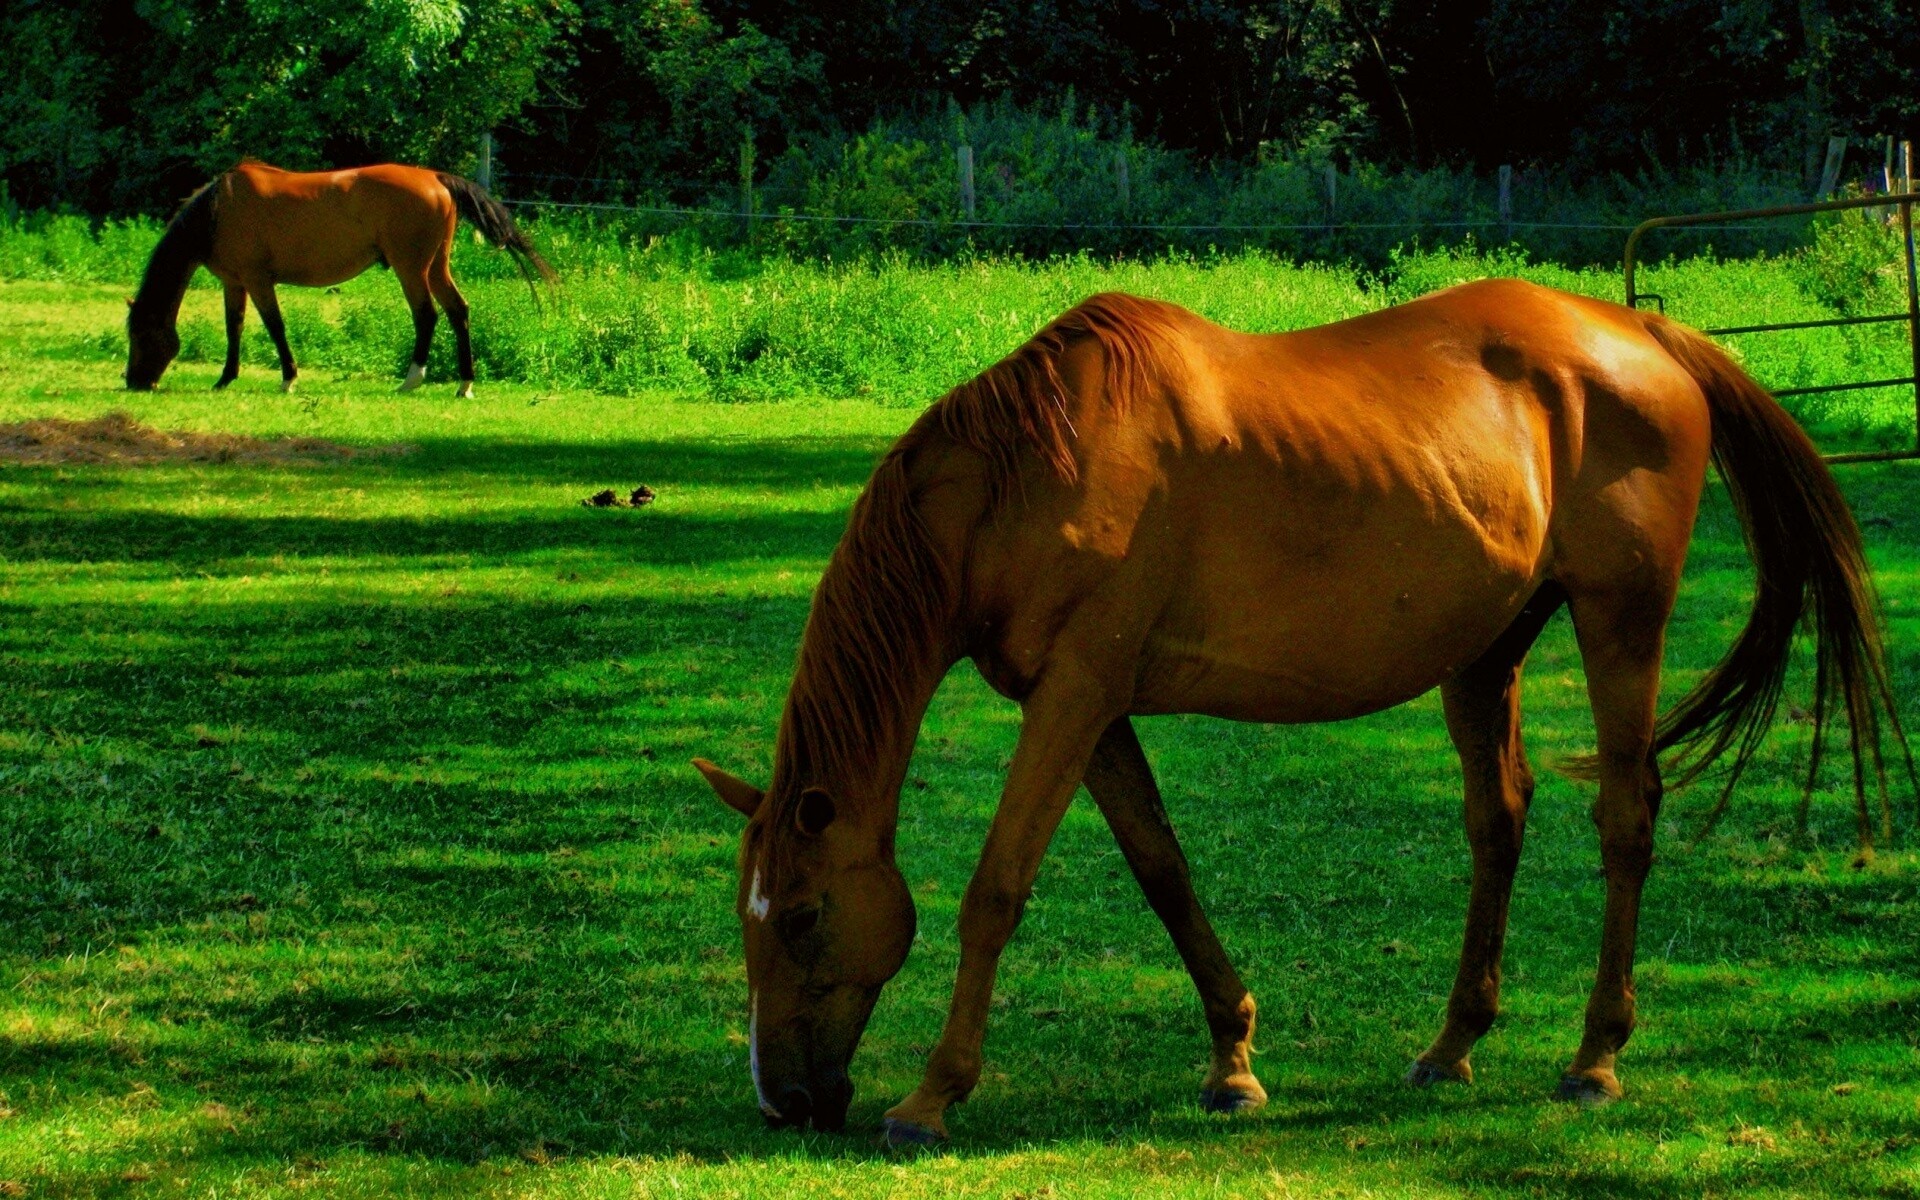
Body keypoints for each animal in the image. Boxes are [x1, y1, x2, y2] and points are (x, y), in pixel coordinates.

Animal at [125, 161, 554, 396]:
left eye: (140, 335)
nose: (134, 381)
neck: (219, 209)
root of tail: (435, 178)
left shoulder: (258, 280)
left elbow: (275, 326)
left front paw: (288, 379)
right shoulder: (235, 282)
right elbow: (235, 327)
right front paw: (225, 378)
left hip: (411, 268)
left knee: (426, 316)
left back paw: (411, 379)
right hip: (436, 267)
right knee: (457, 311)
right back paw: (464, 385)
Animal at [692, 280, 1909, 1144]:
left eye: (801, 916)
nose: (781, 1101)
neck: (1024, 471)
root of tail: (1643, 331)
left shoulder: (1075, 694)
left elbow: (996, 890)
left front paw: (932, 1098)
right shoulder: (1088, 704)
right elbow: (1164, 872)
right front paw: (1234, 1064)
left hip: (1622, 621)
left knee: (1627, 819)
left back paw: (1595, 1058)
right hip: (1486, 653)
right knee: (1497, 824)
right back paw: (1451, 1044)